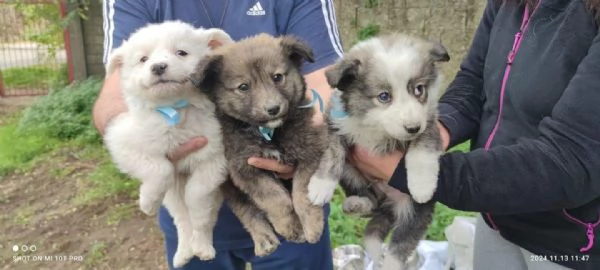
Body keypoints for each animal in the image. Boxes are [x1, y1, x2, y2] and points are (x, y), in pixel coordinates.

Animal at [104, 20, 231, 266]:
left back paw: (202, 247)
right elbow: (160, 169)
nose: (158, 67)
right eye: (143, 59)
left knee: (203, 219)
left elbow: (197, 196)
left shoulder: (215, 158)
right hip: (172, 196)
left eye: (181, 53)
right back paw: (183, 253)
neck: (174, 108)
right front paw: (148, 203)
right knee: (181, 222)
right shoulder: (123, 143)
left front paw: (197, 217)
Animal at [310, 33, 450, 270]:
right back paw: (356, 204)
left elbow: (423, 147)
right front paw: (321, 186)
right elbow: (332, 153)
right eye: (384, 96)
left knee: (399, 246)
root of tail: (389, 206)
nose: (412, 127)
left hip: (415, 213)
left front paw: (422, 185)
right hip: (352, 174)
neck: (375, 126)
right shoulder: (335, 123)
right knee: (371, 215)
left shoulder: (429, 120)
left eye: (419, 89)